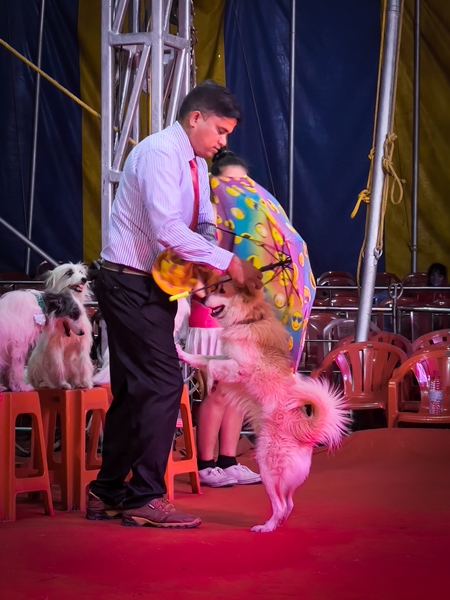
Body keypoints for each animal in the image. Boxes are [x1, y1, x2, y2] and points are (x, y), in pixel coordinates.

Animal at [27, 262, 94, 390]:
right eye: (69, 272)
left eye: (81, 272)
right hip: (37, 360)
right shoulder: (55, 346)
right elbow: (58, 366)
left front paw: (87, 382)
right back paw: (45, 383)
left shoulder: (82, 343)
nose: (84, 279)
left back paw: (77, 383)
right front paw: (63, 384)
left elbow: (84, 363)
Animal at [178, 282, 350, 536]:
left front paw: (209, 381)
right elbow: (203, 357)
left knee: (281, 504)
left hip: (267, 466)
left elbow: (213, 363)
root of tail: (304, 432)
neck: (248, 320)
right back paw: (278, 524)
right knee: (289, 503)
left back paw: (267, 527)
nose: (201, 298)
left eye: (221, 290)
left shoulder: (241, 366)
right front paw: (181, 353)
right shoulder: (226, 357)